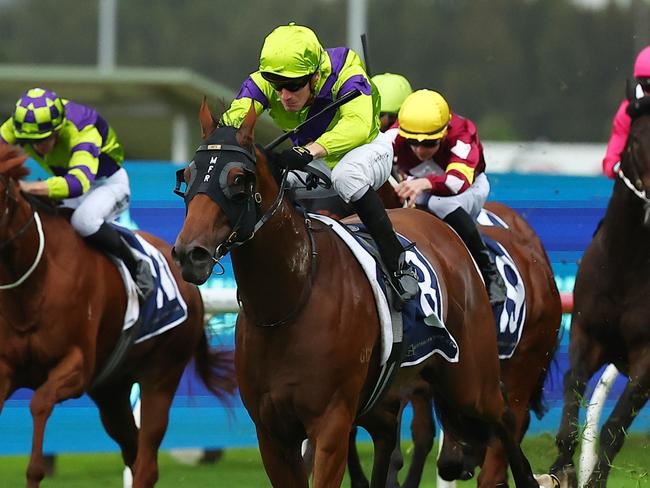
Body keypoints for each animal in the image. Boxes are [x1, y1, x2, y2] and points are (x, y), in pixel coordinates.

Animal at [0, 146, 235, 488]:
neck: (35, 282)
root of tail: (191, 284)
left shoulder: (77, 367)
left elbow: (40, 404)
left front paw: (35, 470)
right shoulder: (7, 368)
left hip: (161, 375)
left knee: (146, 461)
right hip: (111, 389)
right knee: (133, 451)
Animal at [170, 101, 540, 486]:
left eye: (239, 180)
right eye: (188, 175)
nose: (190, 253)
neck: (289, 302)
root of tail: (444, 233)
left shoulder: (330, 423)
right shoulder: (272, 434)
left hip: (470, 380)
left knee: (503, 414)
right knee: (390, 433)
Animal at [548, 97, 648, 486]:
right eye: (634, 141)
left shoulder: (646, 358)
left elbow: (614, 428)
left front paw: (593, 478)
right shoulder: (587, 333)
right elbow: (572, 391)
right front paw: (560, 469)